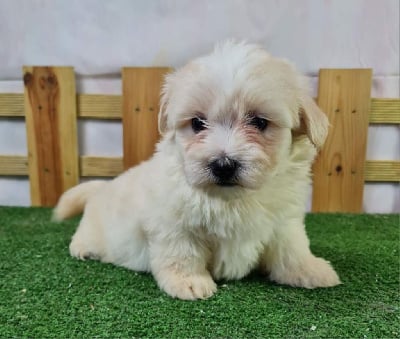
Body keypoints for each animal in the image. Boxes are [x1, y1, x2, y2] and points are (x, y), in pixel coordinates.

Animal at [53, 41, 340, 300]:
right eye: (197, 123)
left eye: (259, 122)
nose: (223, 165)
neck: (233, 200)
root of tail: (102, 187)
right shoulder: (174, 222)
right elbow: (183, 252)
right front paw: (188, 282)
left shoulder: (283, 220)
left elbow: (291, 248)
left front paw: (310, 270)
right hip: (95, 228)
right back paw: (81, 248)